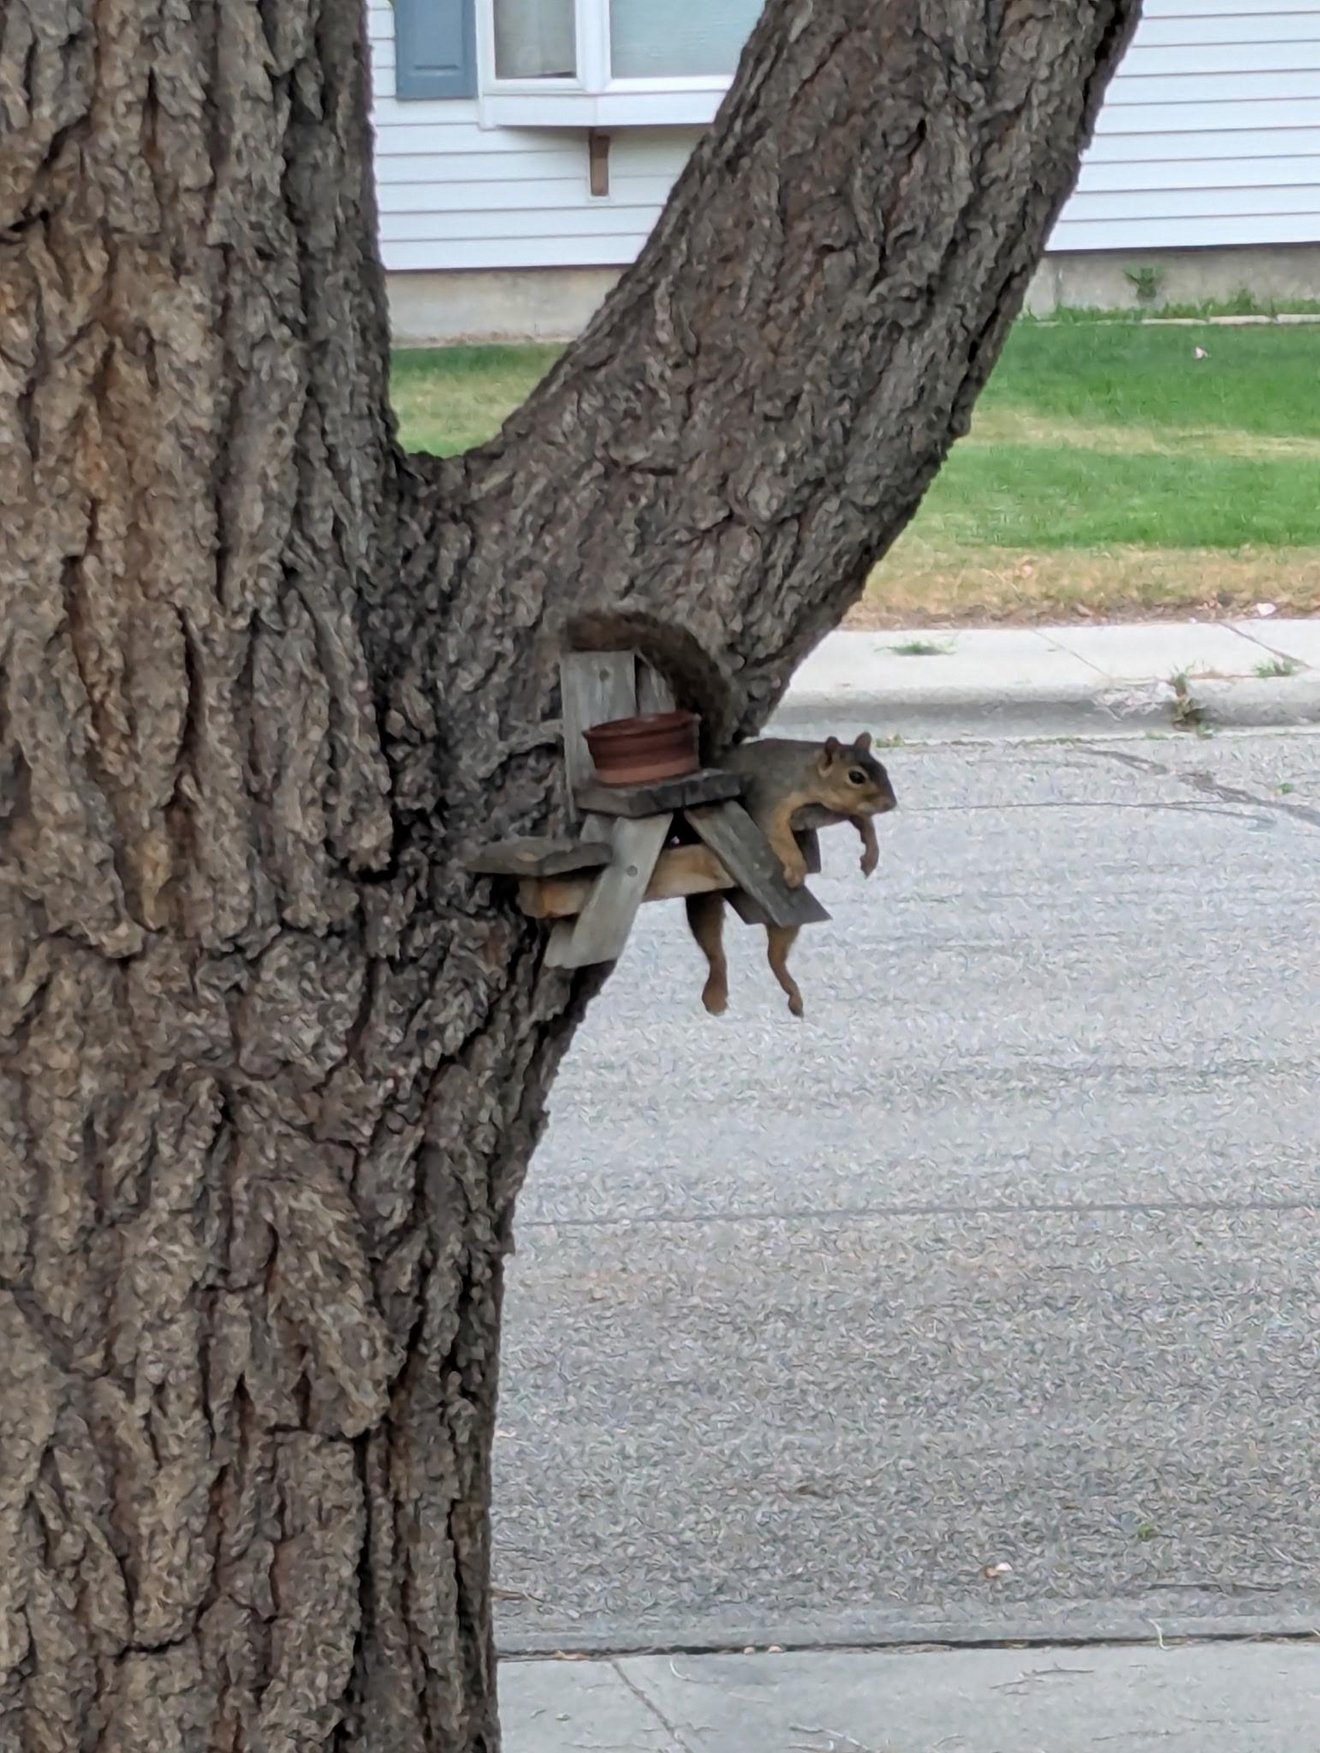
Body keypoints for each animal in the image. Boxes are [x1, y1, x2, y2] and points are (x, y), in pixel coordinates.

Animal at [566, 611, 897, 1018]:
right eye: (856, 776)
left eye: (882, 769)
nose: (890, 803)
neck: (810, 778)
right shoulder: (774, 799)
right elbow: (779, 833)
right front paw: (795, 865)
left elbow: (862, 822)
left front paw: (871, 853)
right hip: (707, 897)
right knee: (713, 946)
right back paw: (716, 994)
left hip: (782, 915)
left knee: (775, 953)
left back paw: (791, 992)